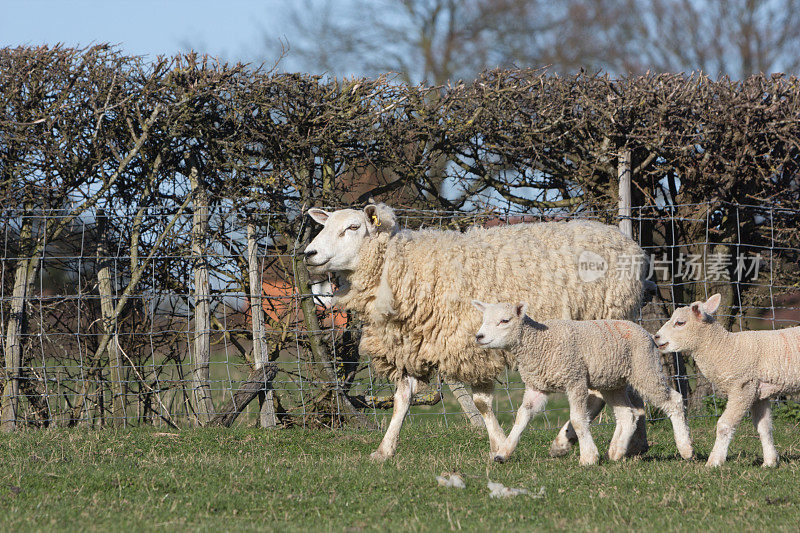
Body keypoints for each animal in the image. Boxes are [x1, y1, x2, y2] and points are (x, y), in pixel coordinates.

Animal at [304, 202, 652, 460]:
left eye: (353, 228)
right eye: (325, 226)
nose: (309, 254)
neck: (404, 266)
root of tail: (628, 242)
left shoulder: (474, 346)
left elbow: (482, 403)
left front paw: (499, 444)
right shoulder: (412, 344)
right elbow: (403, 398)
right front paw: (385, 450)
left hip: (603, 323)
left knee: (599, 395)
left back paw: (570, 443)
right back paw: (634, 444)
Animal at [476, 302, 692, 464]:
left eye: (505, 320)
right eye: (484, 320)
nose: (479, 336)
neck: (538, 342)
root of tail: (643, 330)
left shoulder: (575, 379)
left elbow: (579, 420)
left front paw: (588, 457)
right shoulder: (537, 387)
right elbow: (522, 416)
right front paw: (503, 453)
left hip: (645, 369)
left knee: (673, 400)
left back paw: (686, 448)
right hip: (612, 382)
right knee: (627, 414)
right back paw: (616, 452)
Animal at [656, 290, 800, 466]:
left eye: (680, 323)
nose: (656, 337)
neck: (726, 348)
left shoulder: (742, 387)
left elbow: (724, 425)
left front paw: (714, 461)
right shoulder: (758, 392)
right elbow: (764, 427)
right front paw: (770, 462)